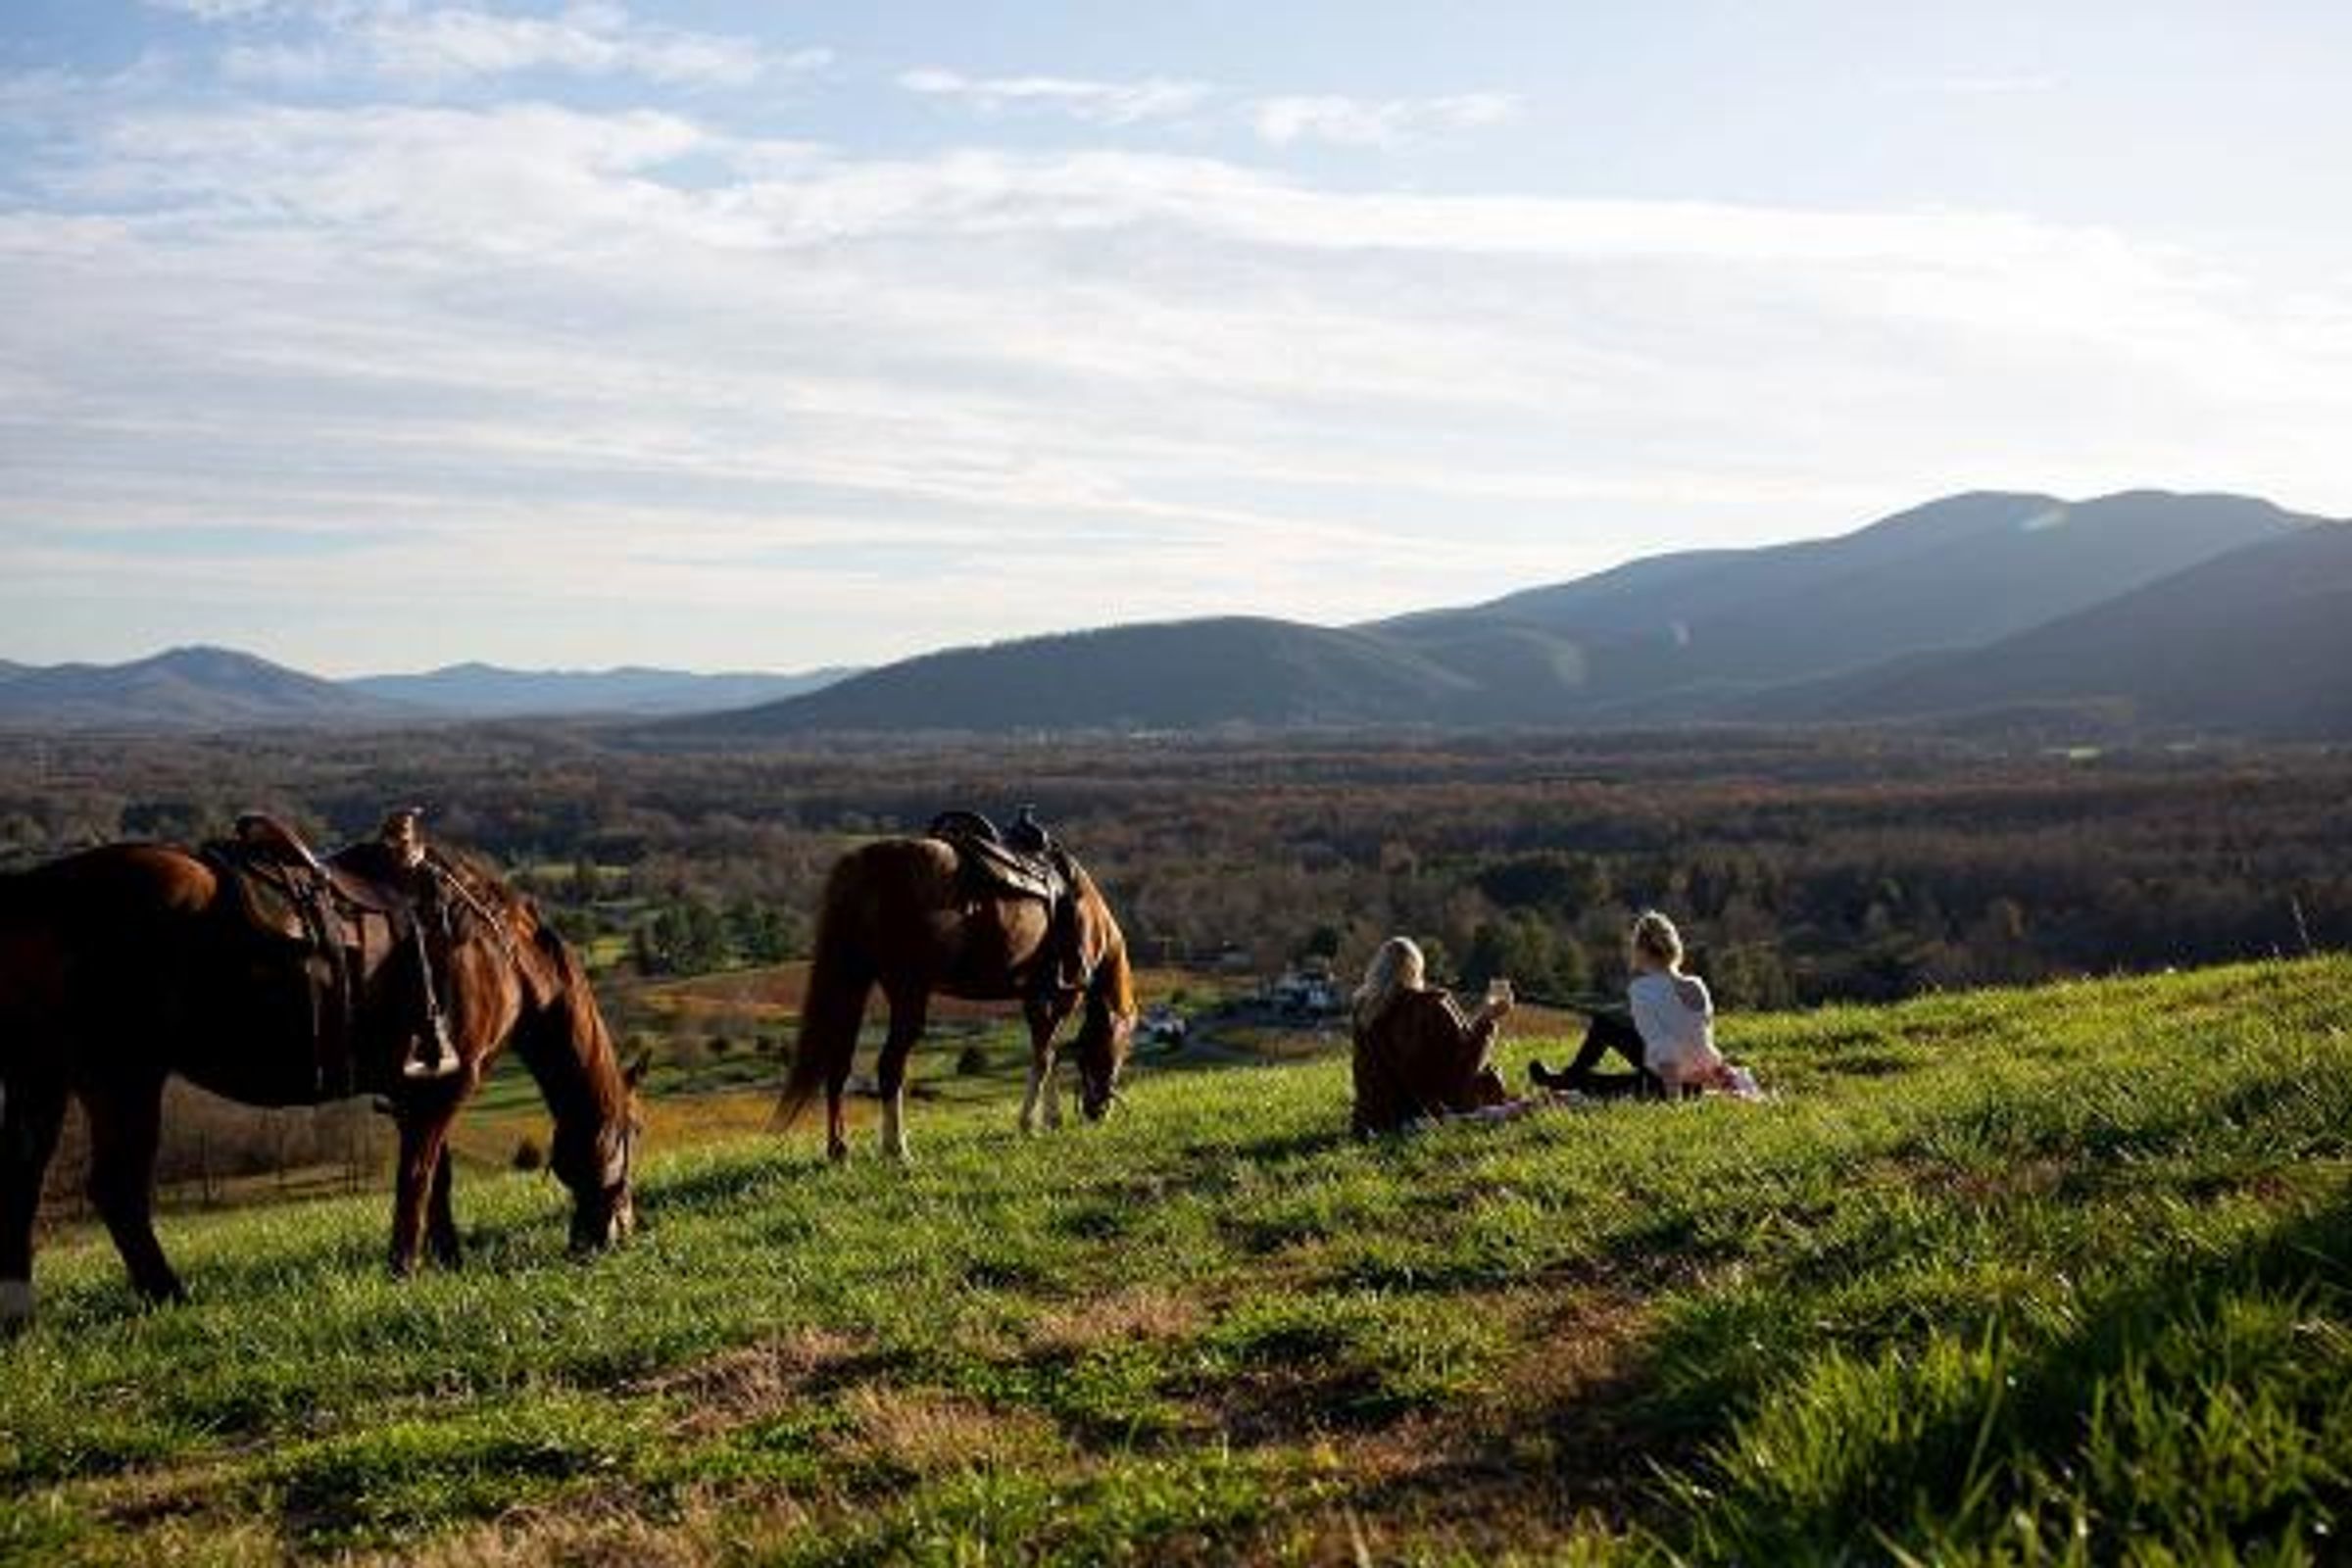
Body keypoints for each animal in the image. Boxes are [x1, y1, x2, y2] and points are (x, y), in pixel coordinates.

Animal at [0, 841, 644, 1335]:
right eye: (635, 1132)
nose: (616, 1234)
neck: (499, 950)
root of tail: (30, 892)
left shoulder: (419, 1092)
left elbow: (437, 1178)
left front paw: (448, 1258)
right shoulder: (449, 1085)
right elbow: (417, 1177)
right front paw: (405, 1268)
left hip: (43, 1078)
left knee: (23, 1182)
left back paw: (19, 1315)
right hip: (122, 1078)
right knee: (117, 1190)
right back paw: (169, 1295)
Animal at [776, 832, 1133, 1165]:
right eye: (1120, 1047)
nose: (1099, 1111)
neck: (1086, 914)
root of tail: (865, 864)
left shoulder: (1035, 998)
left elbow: (1048, 1054)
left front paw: (1050, 1119)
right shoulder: (1064, 996)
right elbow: (1045, 1057)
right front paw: (1030, 1123)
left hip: (854, 983)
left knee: (838, 1066)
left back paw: (839, 1150)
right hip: (908, 992)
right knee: (890, 1066)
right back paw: (897, 1149)